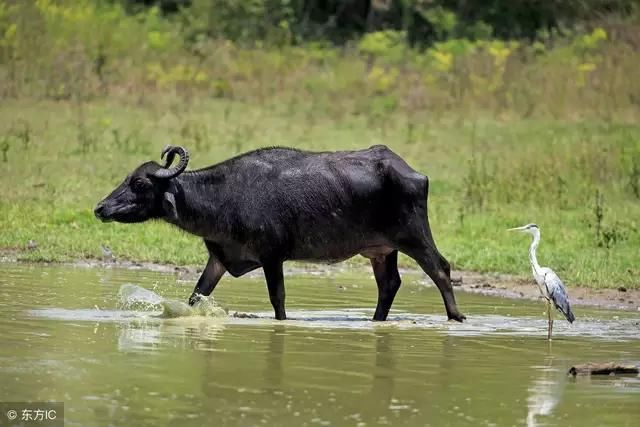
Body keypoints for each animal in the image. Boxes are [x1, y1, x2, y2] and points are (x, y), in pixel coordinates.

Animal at [94, 145, 464, 322]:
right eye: (126, 179)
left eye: (140, 184)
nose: (100, 208)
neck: (224, 196)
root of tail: (411, 172)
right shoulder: (219, 258)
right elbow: (197, 295)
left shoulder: (273, 256)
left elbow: (278, 298)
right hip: (382, 251)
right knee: (389, 284)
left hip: (414, 236)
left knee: (440, 269)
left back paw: (456, 316)